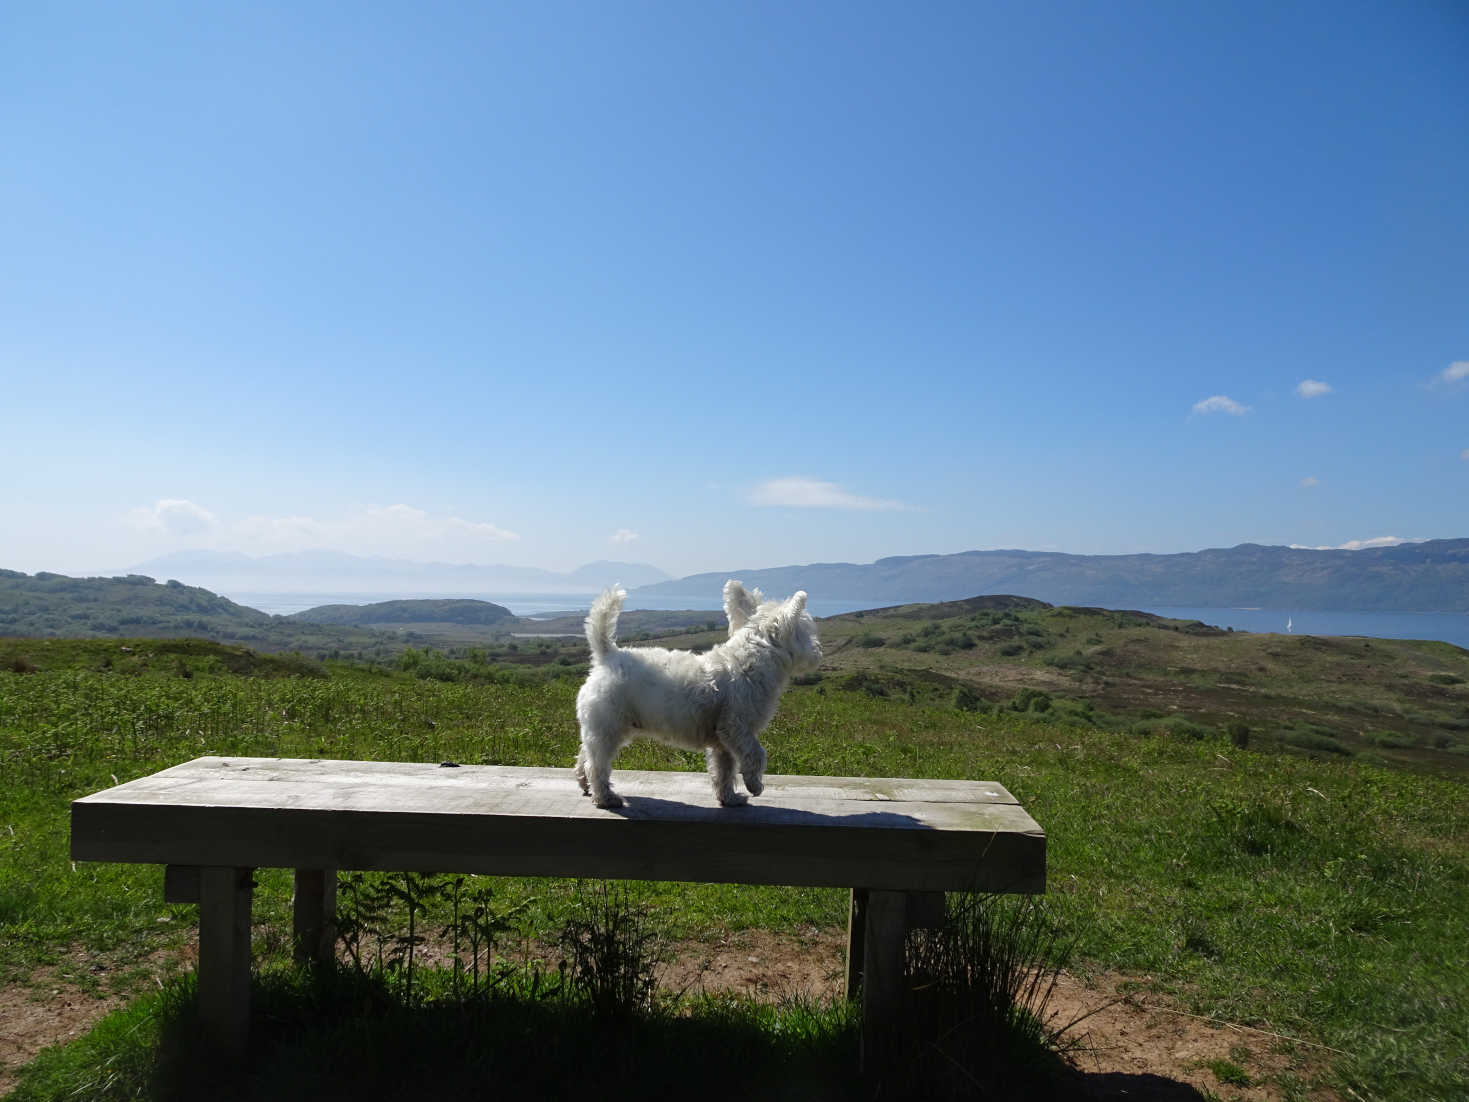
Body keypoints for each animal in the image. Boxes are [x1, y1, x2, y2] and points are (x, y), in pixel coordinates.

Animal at [575, 578, 828, 811]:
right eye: (809, 631)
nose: (819, 652)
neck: (754, 659)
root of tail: (607, 655)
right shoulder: (737, 727)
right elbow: (756, 753)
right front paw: (754, 784)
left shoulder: (723, 741)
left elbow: (724, 771)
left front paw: (729, 798)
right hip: (609, 727)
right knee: (596, 765)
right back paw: (606, 797)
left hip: (600, 728)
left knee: (584, 756)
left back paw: (585, 785)